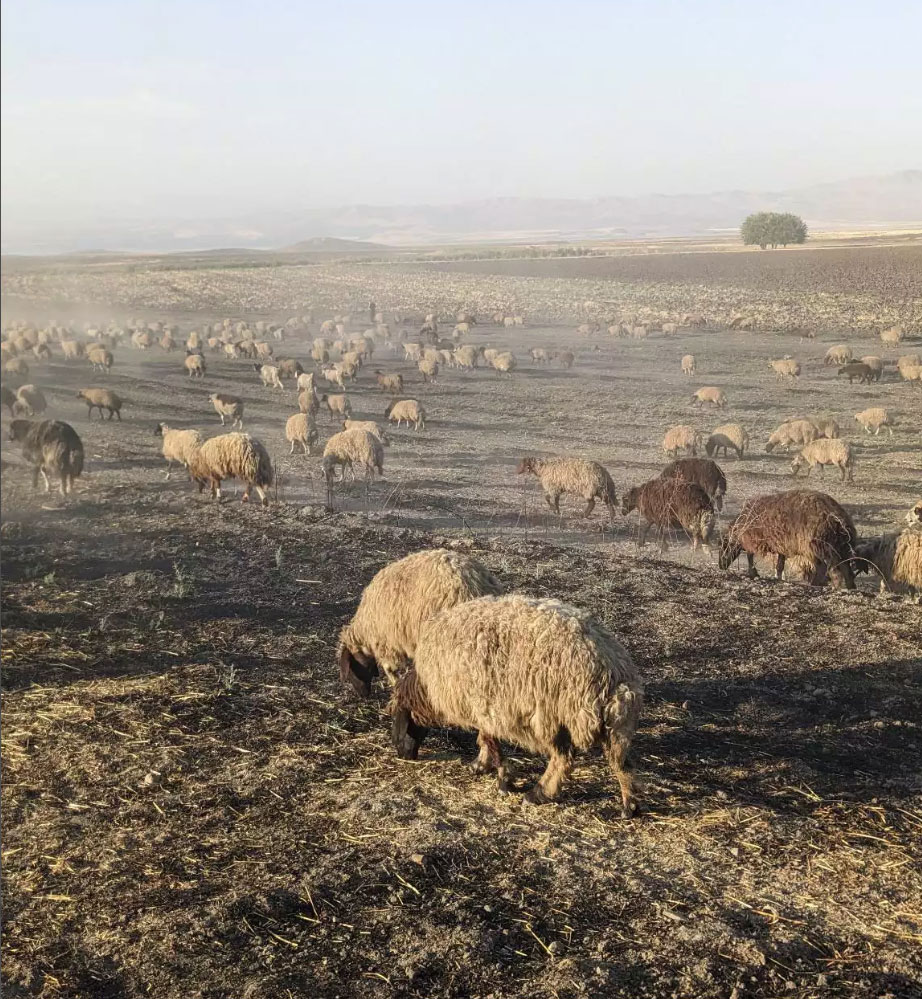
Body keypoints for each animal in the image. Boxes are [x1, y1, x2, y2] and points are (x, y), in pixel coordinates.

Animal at [334, 548, 500, 696]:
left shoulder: (386, 641)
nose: (362, 695)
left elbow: (390, 668)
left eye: (351, 669)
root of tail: (474, 584)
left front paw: (396, 685)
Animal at [388, 592, 640, 812]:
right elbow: (486, 739)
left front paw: (503, 779)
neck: (426, 687)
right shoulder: (485, 706)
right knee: (621, 762)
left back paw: (538, 794)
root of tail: (614, 671)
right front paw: (482, 765)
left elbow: (491, 743)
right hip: (611, 725)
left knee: (564, 759)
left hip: (552, 715)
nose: (403, 754)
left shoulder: (480, 704)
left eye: (400, 718)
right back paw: (630, 805)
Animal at [720, 490, 856, 588]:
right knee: (847, 569)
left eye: (724, 545)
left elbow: (750, 556)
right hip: (841, 547)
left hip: (816, 546)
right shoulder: (781, 545)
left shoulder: (752, 539)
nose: (721, 565)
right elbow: (780, 565)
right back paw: (850, 587)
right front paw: (778, 578)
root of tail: (837, 517)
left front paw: (753, 573)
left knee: (824, 568)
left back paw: (814, 584)